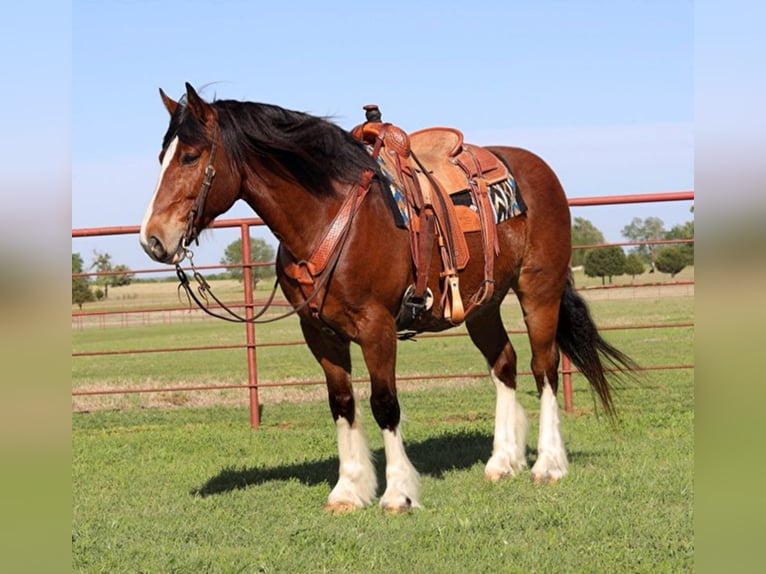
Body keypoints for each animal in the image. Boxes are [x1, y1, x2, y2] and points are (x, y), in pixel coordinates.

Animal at [138, 83, 636, 516]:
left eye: (190, 155)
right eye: (161, 157)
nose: (152, 239)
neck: (330, 218)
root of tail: (538, 169)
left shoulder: (377, 327)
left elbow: (384, 404)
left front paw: (398, 493)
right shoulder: (320, 334)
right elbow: (342, 405)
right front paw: (348, 489)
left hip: (539, 289)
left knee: (543, 367)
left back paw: (548, 464)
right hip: (483, 304)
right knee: (505, 365)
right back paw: (503, 461)